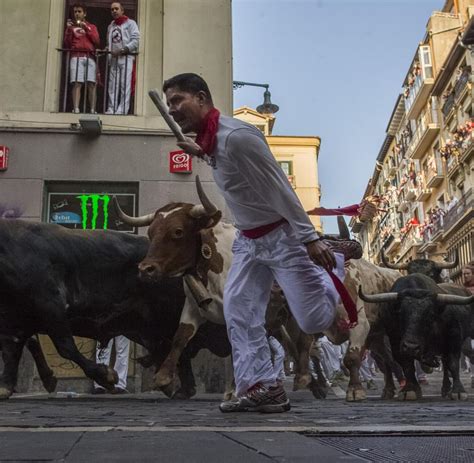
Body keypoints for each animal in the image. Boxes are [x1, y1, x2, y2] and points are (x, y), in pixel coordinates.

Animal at [0, 220, 230, 398]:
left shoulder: (51, 305)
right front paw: (6, 387)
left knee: (178, 344)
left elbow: (66, 347)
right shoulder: (13, 321)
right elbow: (12, 351)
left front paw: (107, 377)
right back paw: (179, 388)